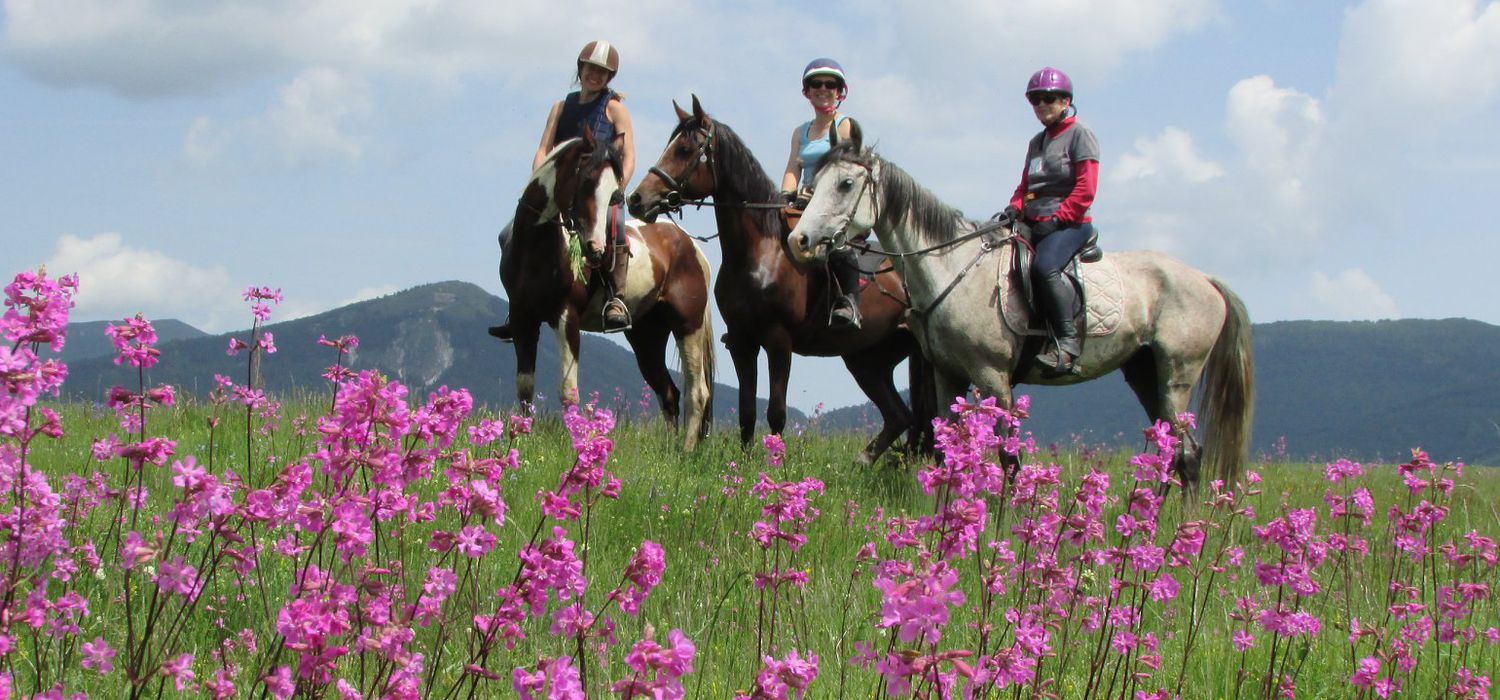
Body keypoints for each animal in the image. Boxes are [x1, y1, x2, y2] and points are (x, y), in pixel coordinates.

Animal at [498, 128, 714, 452]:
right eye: (585, 181)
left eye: (615, 193)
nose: (595, 249)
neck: (537, 248)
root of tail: (691, 245)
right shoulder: (523, 317)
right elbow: (525, 386)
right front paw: (520, 440)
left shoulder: (566, 317)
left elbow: (568, 391)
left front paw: (577, 443)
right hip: (646, 337)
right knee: (668, 392)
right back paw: (669, 451)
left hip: (688, 325)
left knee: (697, 391)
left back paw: (686, 451)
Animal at [621, 97, 924, 464]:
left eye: (684, 149)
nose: (638, 200)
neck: (761, 254)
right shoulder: (742, 341)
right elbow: (746, 411)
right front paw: (744, 464)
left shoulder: (779, 341)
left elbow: (776, 413)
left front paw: (774, 464)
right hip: (868, 360)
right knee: (899, 416)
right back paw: (863, 463)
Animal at [786, 138, 1254, 488]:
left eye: (846, 183)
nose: (800, 240)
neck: (952, 267)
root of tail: (1206, 279)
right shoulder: (947, 375)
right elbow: (945, 449)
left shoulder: (994, 377)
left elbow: (1008, 458)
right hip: (1144, 372)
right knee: (1171, 449)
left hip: (1178, 375)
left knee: (1189, 452)